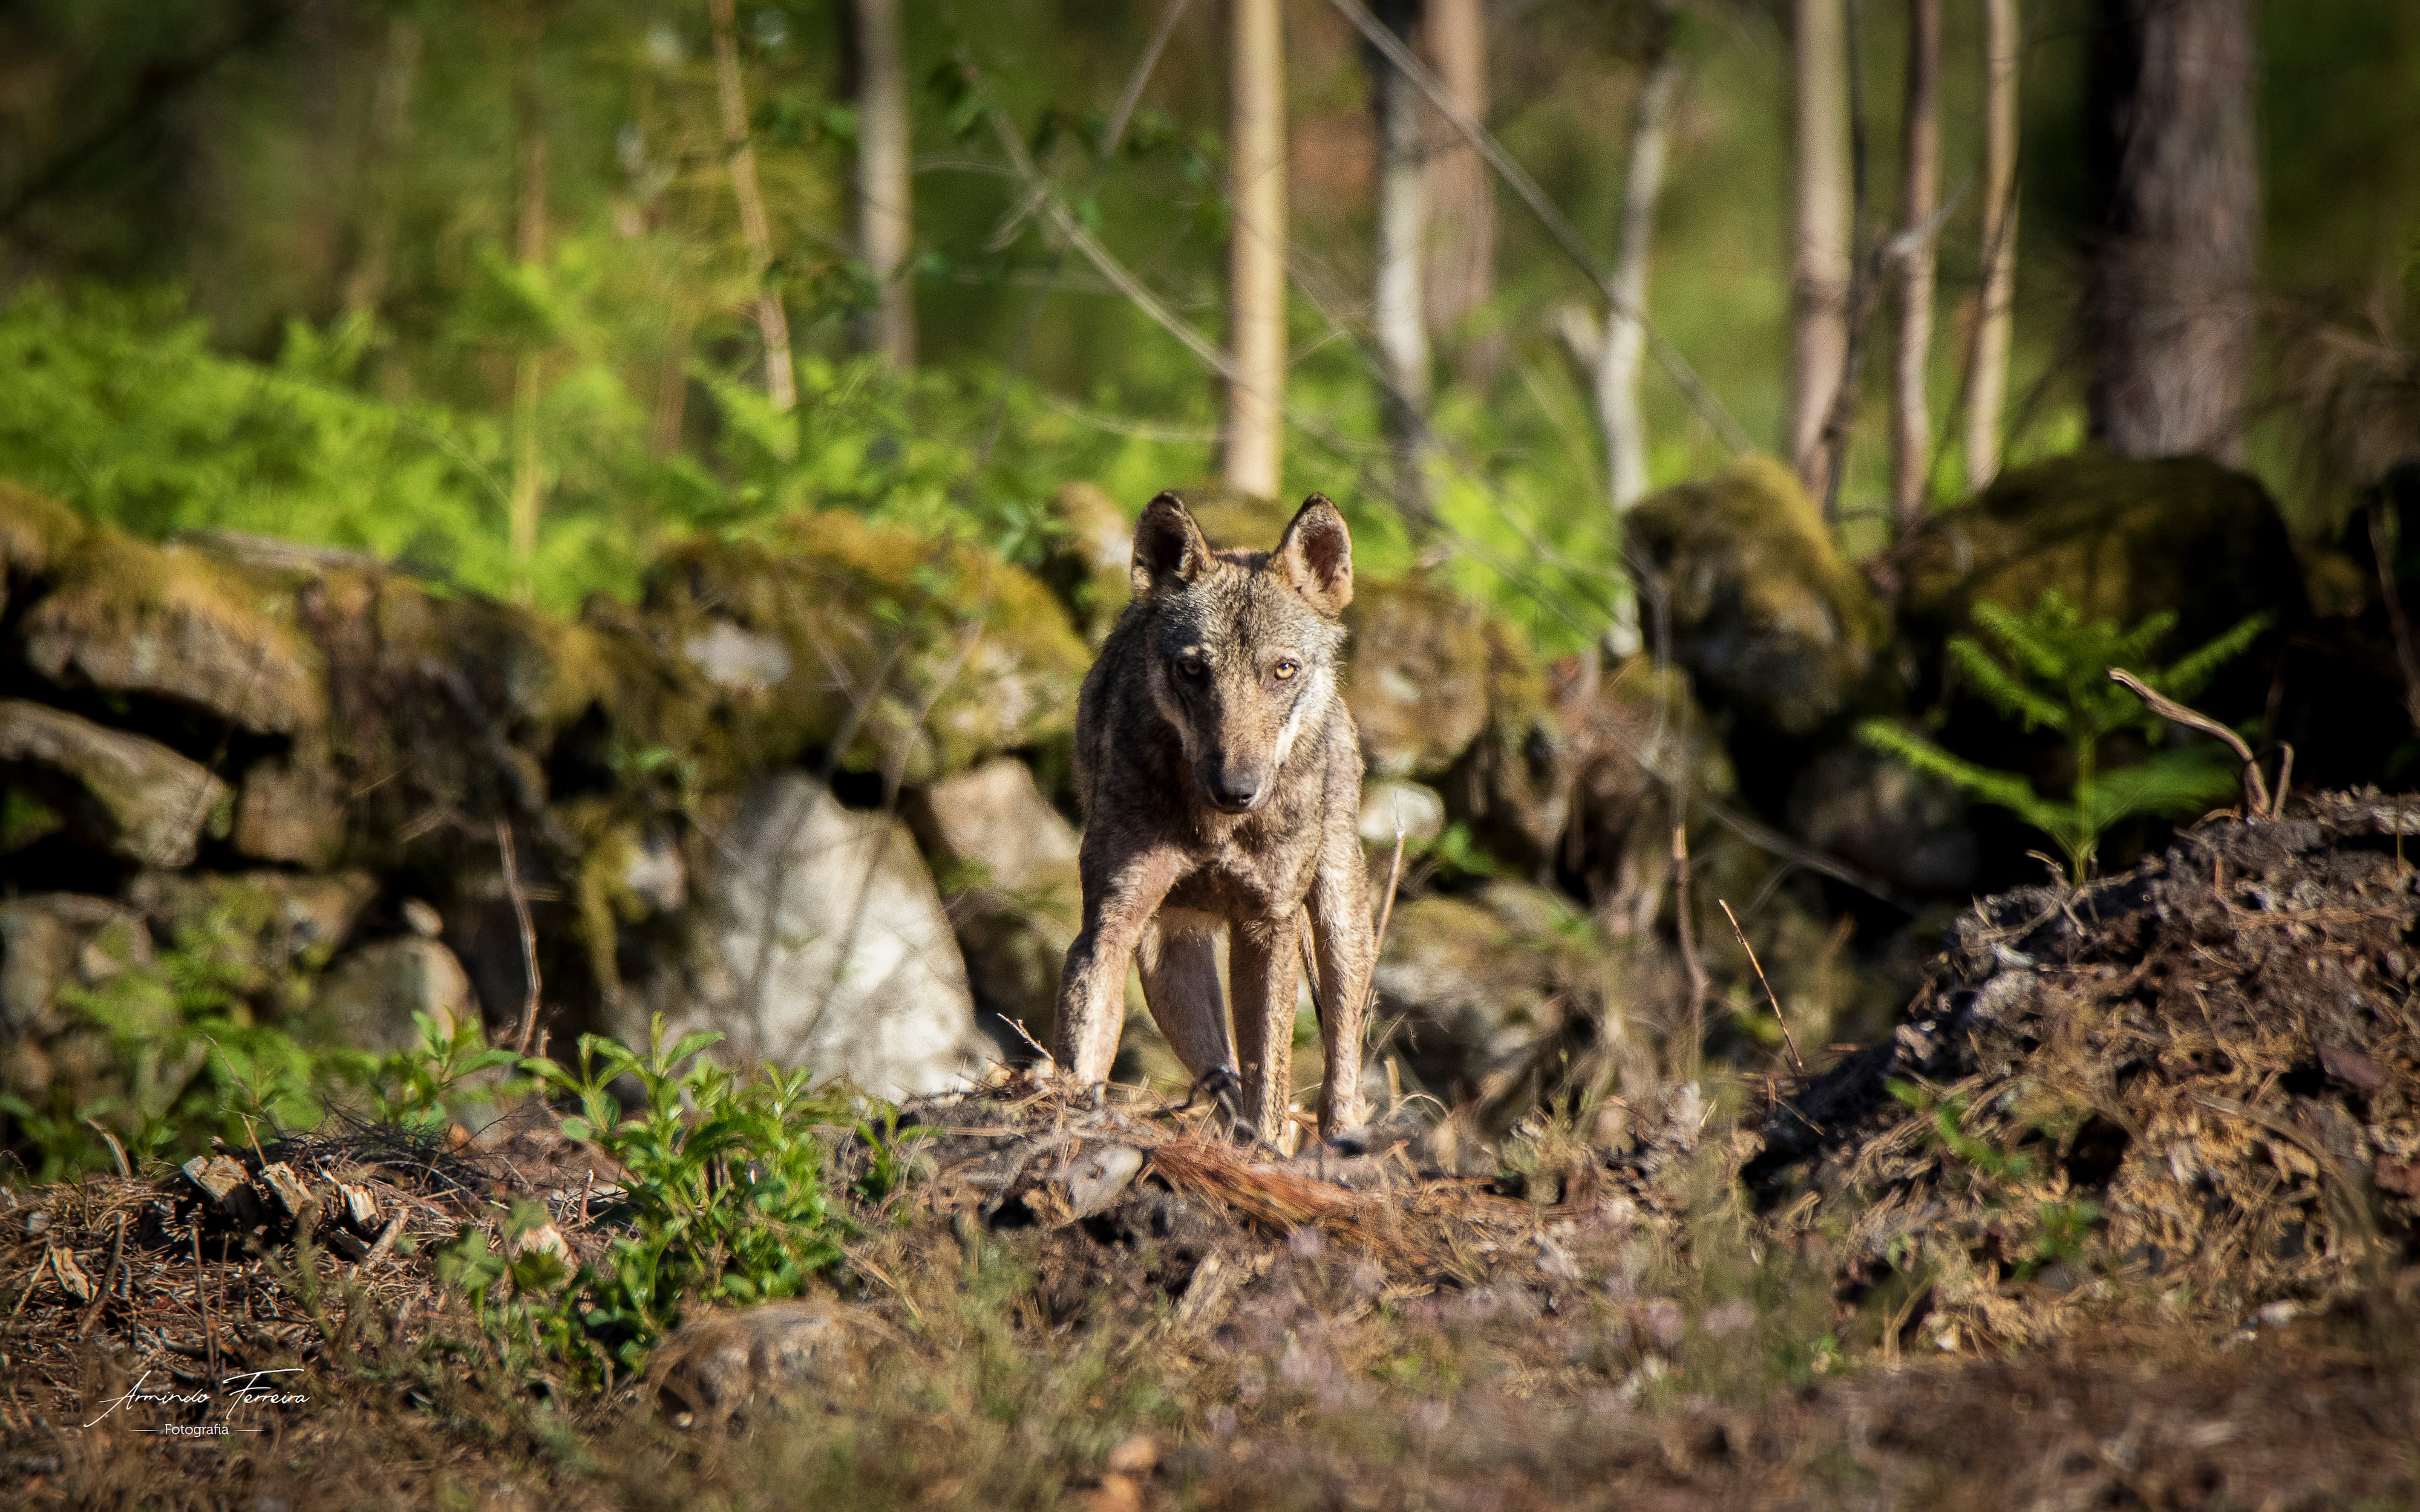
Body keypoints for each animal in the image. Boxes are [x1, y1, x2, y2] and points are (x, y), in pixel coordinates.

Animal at [1050, 489, 1375, 1137]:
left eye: (1283, 669)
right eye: (1194, 670)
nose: (1236, 789)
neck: (1217, 830)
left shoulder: (1269, 927)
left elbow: (1271, 1074)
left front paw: (1271, 1150)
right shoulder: (1110, 923)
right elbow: (1086, 1046)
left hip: (1339, 919)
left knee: (1338, 1058)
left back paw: (1339, 1139)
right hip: (1165, 959)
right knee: (1220, 1075)